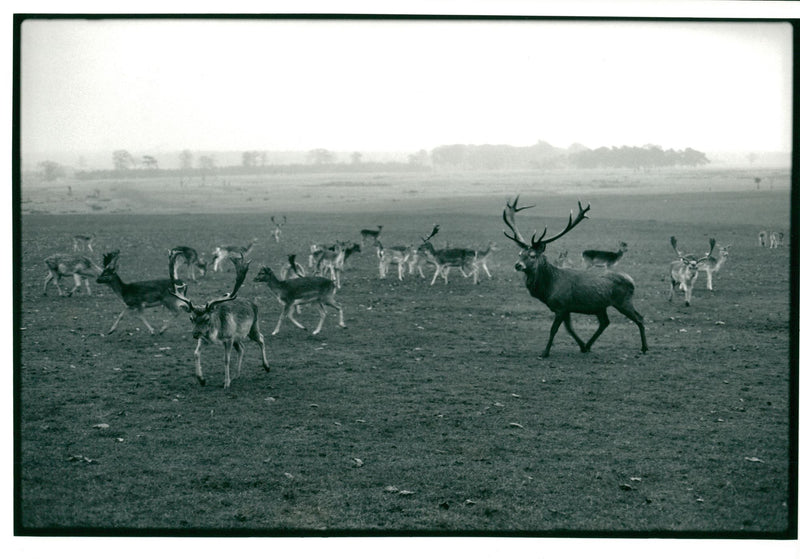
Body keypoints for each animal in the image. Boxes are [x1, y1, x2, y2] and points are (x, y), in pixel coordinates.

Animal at [168, 254, 268, 390]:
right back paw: (236, 375)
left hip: (253, 327)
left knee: (261, 339)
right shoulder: (204, 339)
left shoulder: (229, 338)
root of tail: (254, 303)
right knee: (242, 348)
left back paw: (266, 367)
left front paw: (226, 383)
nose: (195, 334)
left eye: (207, 318)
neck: (215, 335)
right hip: (237, 337)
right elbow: (196, 353)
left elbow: (226, 359)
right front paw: (201, 379)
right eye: (191, 318)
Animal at [504, 197, 648, 358]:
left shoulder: (561, 306)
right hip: (601, 306)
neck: (548, 288)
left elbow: (554, 329)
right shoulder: (566, 308)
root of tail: (632, 281)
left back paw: (644, 348)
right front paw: (582, 346)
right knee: (605, 322)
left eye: (533, 255)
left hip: (623, 301)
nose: (518, 265)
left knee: (639, 318)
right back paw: (589, 345)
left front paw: (545, 352)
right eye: (520, 254)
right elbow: (570, 329)